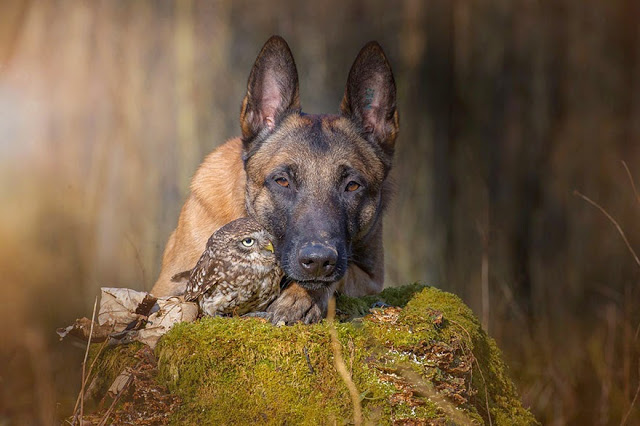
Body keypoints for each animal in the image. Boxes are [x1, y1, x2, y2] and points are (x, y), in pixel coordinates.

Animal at [152, 35, 398, 322]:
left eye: (352, 186)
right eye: (282, 181)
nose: (317, 261)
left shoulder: (371, 277)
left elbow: (342, 274)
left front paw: (299, 296)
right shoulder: (169, 286)